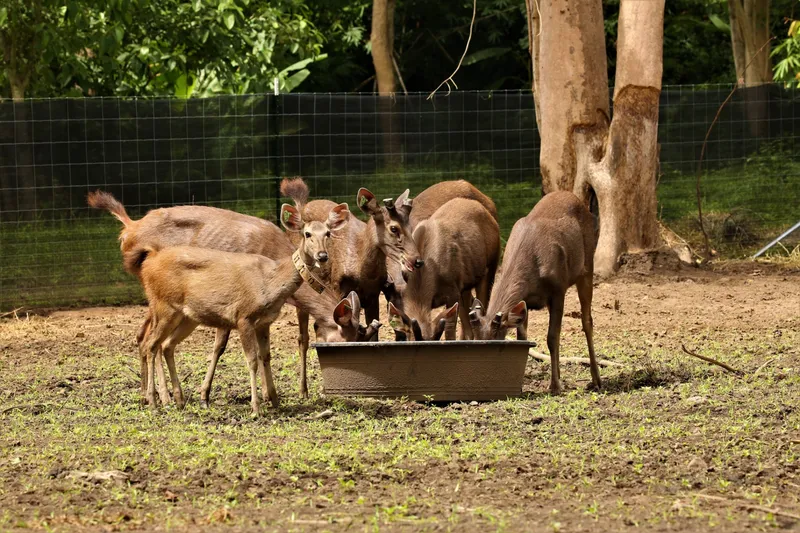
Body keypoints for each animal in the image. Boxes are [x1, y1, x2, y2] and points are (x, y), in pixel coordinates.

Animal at [139, 202, 350, 414]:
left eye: (328, 233)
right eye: (307, 234)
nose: (322, 256)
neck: (271, 283)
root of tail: (147, 265)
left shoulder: (264, 322)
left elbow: (266, 356)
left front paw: (275, 401)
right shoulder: (243, 317)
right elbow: (252, 360)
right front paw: (256, 407)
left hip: (187, 316)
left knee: (166, 345)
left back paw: (178, 399)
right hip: (163, 306)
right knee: (151, 344)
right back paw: (155, 401)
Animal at [468, 190, 601, 394]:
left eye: (496, 343)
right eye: (475, 341)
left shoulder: (558, 289)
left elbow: (552, 337)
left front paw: (554, 386)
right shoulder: (525, 301)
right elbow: (523, 338)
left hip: (587, 267)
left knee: (587, 321)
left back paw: (596, 380)